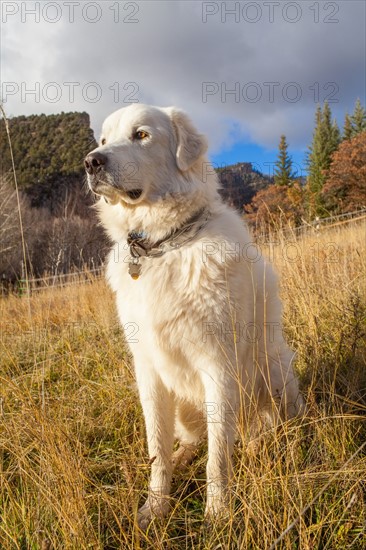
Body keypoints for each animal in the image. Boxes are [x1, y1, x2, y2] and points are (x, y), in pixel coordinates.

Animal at [85, 104, 304, 532]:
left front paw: (217, 514)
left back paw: (262, 442)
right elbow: (157, 448)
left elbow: (218, 456)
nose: (91, 162)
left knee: (263, 426)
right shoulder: (148, 371)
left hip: (275, 371)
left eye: (140, 135)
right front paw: (155, 507)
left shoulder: (218, 365)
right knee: (191, 440)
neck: (163, 246)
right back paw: (186, 454)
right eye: (103, 140)